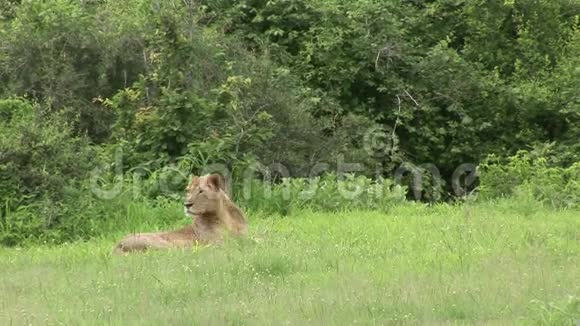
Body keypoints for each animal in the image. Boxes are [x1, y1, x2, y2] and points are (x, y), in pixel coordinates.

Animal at [112, 173, 247, 255]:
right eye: (188, 191)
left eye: (201, 191)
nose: (187, 204)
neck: (224, 216)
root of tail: (118, 245)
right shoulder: (218, 245)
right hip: (166, 246)